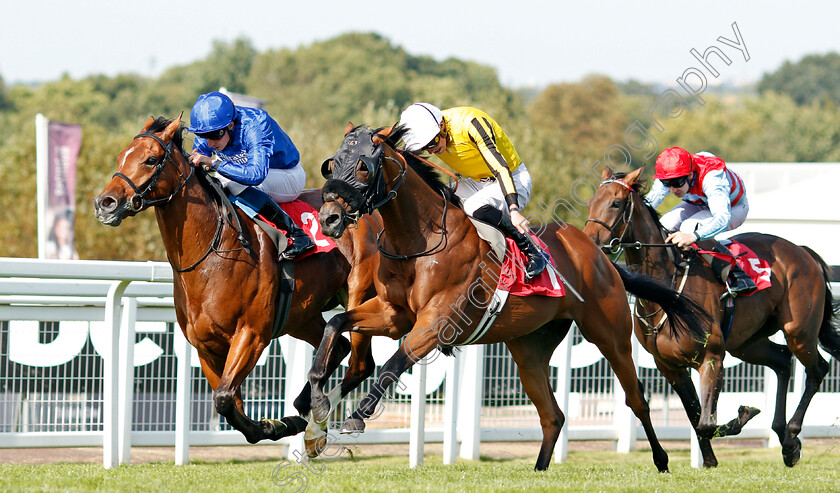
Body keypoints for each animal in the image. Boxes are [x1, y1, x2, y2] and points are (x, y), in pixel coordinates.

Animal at [92, 116, 380, 446]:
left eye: (151, 160)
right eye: (120, 157)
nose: (105, 203)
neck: (212, 253)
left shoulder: (251, 334)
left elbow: (224, 398)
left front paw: (272, 426)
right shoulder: (206, 345)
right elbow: (230, 402)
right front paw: (280, 424)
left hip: (359, 298)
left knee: (360, 364)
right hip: (301, 316)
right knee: (339, 345)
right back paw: (301, 407)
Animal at [302, 125, 708, 470]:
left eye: (363, 166)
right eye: (332, 164)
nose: (330, 218)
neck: (420, 240)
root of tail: (598, 254)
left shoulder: (435, 323)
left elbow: (393, 363)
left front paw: (356, 417)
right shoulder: (392, 314)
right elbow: (336, 323)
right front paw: (318, 399)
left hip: (610, 336)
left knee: (636, 399)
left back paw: (662, 460)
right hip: (529, 349)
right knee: (553, 415)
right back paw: (540, 469)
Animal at [584, 167, 840, 468]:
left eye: (615, 203)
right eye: (591, 202)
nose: (589, 242)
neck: (668, 291)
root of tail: (803, 252)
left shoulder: (712, 356)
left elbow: (706, 422)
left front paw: (744, 414)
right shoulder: (670, 367)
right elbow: (695, 416)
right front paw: (709, 461)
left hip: (798, 331)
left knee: (817, 369)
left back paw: (792, 435)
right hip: (747, 343)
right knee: (782, 361)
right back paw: (784, 437)